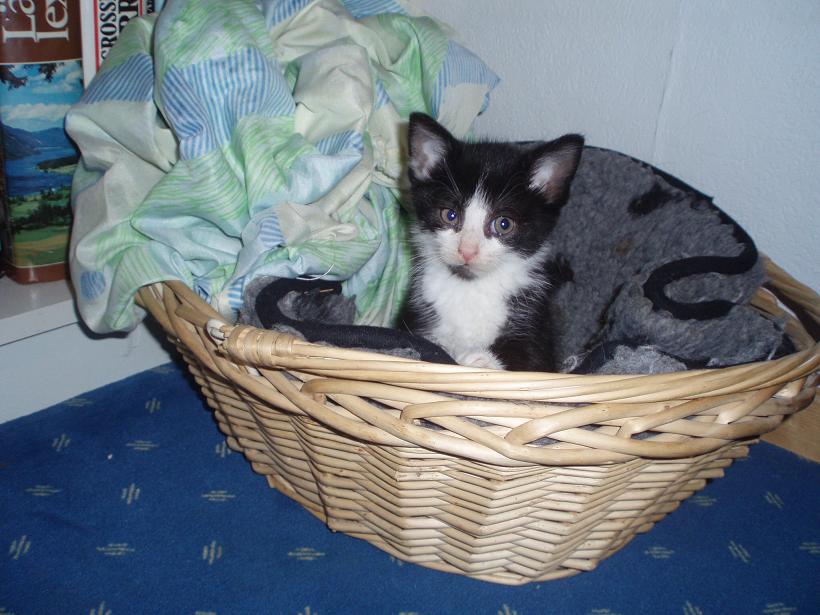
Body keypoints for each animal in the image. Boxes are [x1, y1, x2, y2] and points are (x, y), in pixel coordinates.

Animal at [401, 113, 584, 371]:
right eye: (450, 215)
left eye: (504, 224)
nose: (467, 250)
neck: (471, 287)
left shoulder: (535, 327)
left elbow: (528, 362)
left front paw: (480, 361)